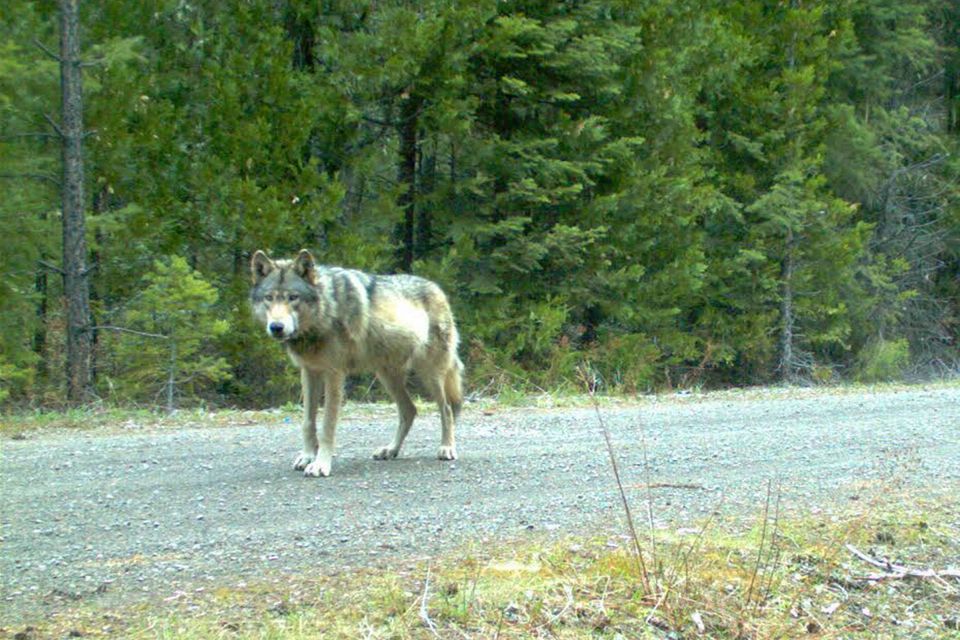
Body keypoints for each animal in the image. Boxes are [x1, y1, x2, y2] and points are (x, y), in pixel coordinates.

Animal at [250, 249, 464, 477]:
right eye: (269, 298)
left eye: (293, 297)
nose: (276, 327)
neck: (326, 310)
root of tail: (438, 289)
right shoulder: (309, 372)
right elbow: (308, 423)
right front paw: (307, 456)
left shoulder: (334, 374)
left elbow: (327, 426)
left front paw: (320, 464)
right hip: (387, 376)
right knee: (410, 410)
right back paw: (390, 450)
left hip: (430, 374)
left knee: (447, 409)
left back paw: (447, 448)